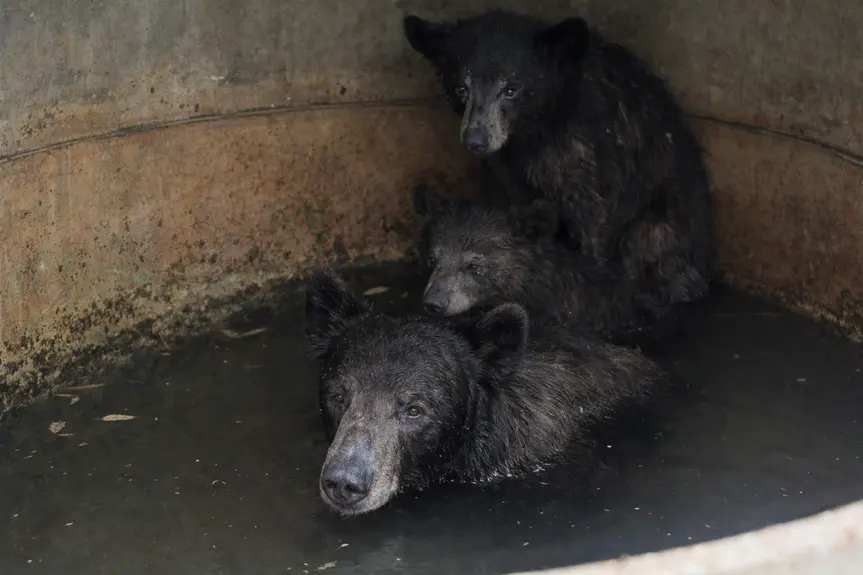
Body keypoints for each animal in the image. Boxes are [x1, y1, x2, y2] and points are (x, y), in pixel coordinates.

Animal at [403, 9, 714, 326]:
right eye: (461, 88)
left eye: (511, 89)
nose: (476, 141)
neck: (539, 124)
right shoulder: (507, 170)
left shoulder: (587, 157)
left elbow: (593, 222)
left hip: (662, 225)